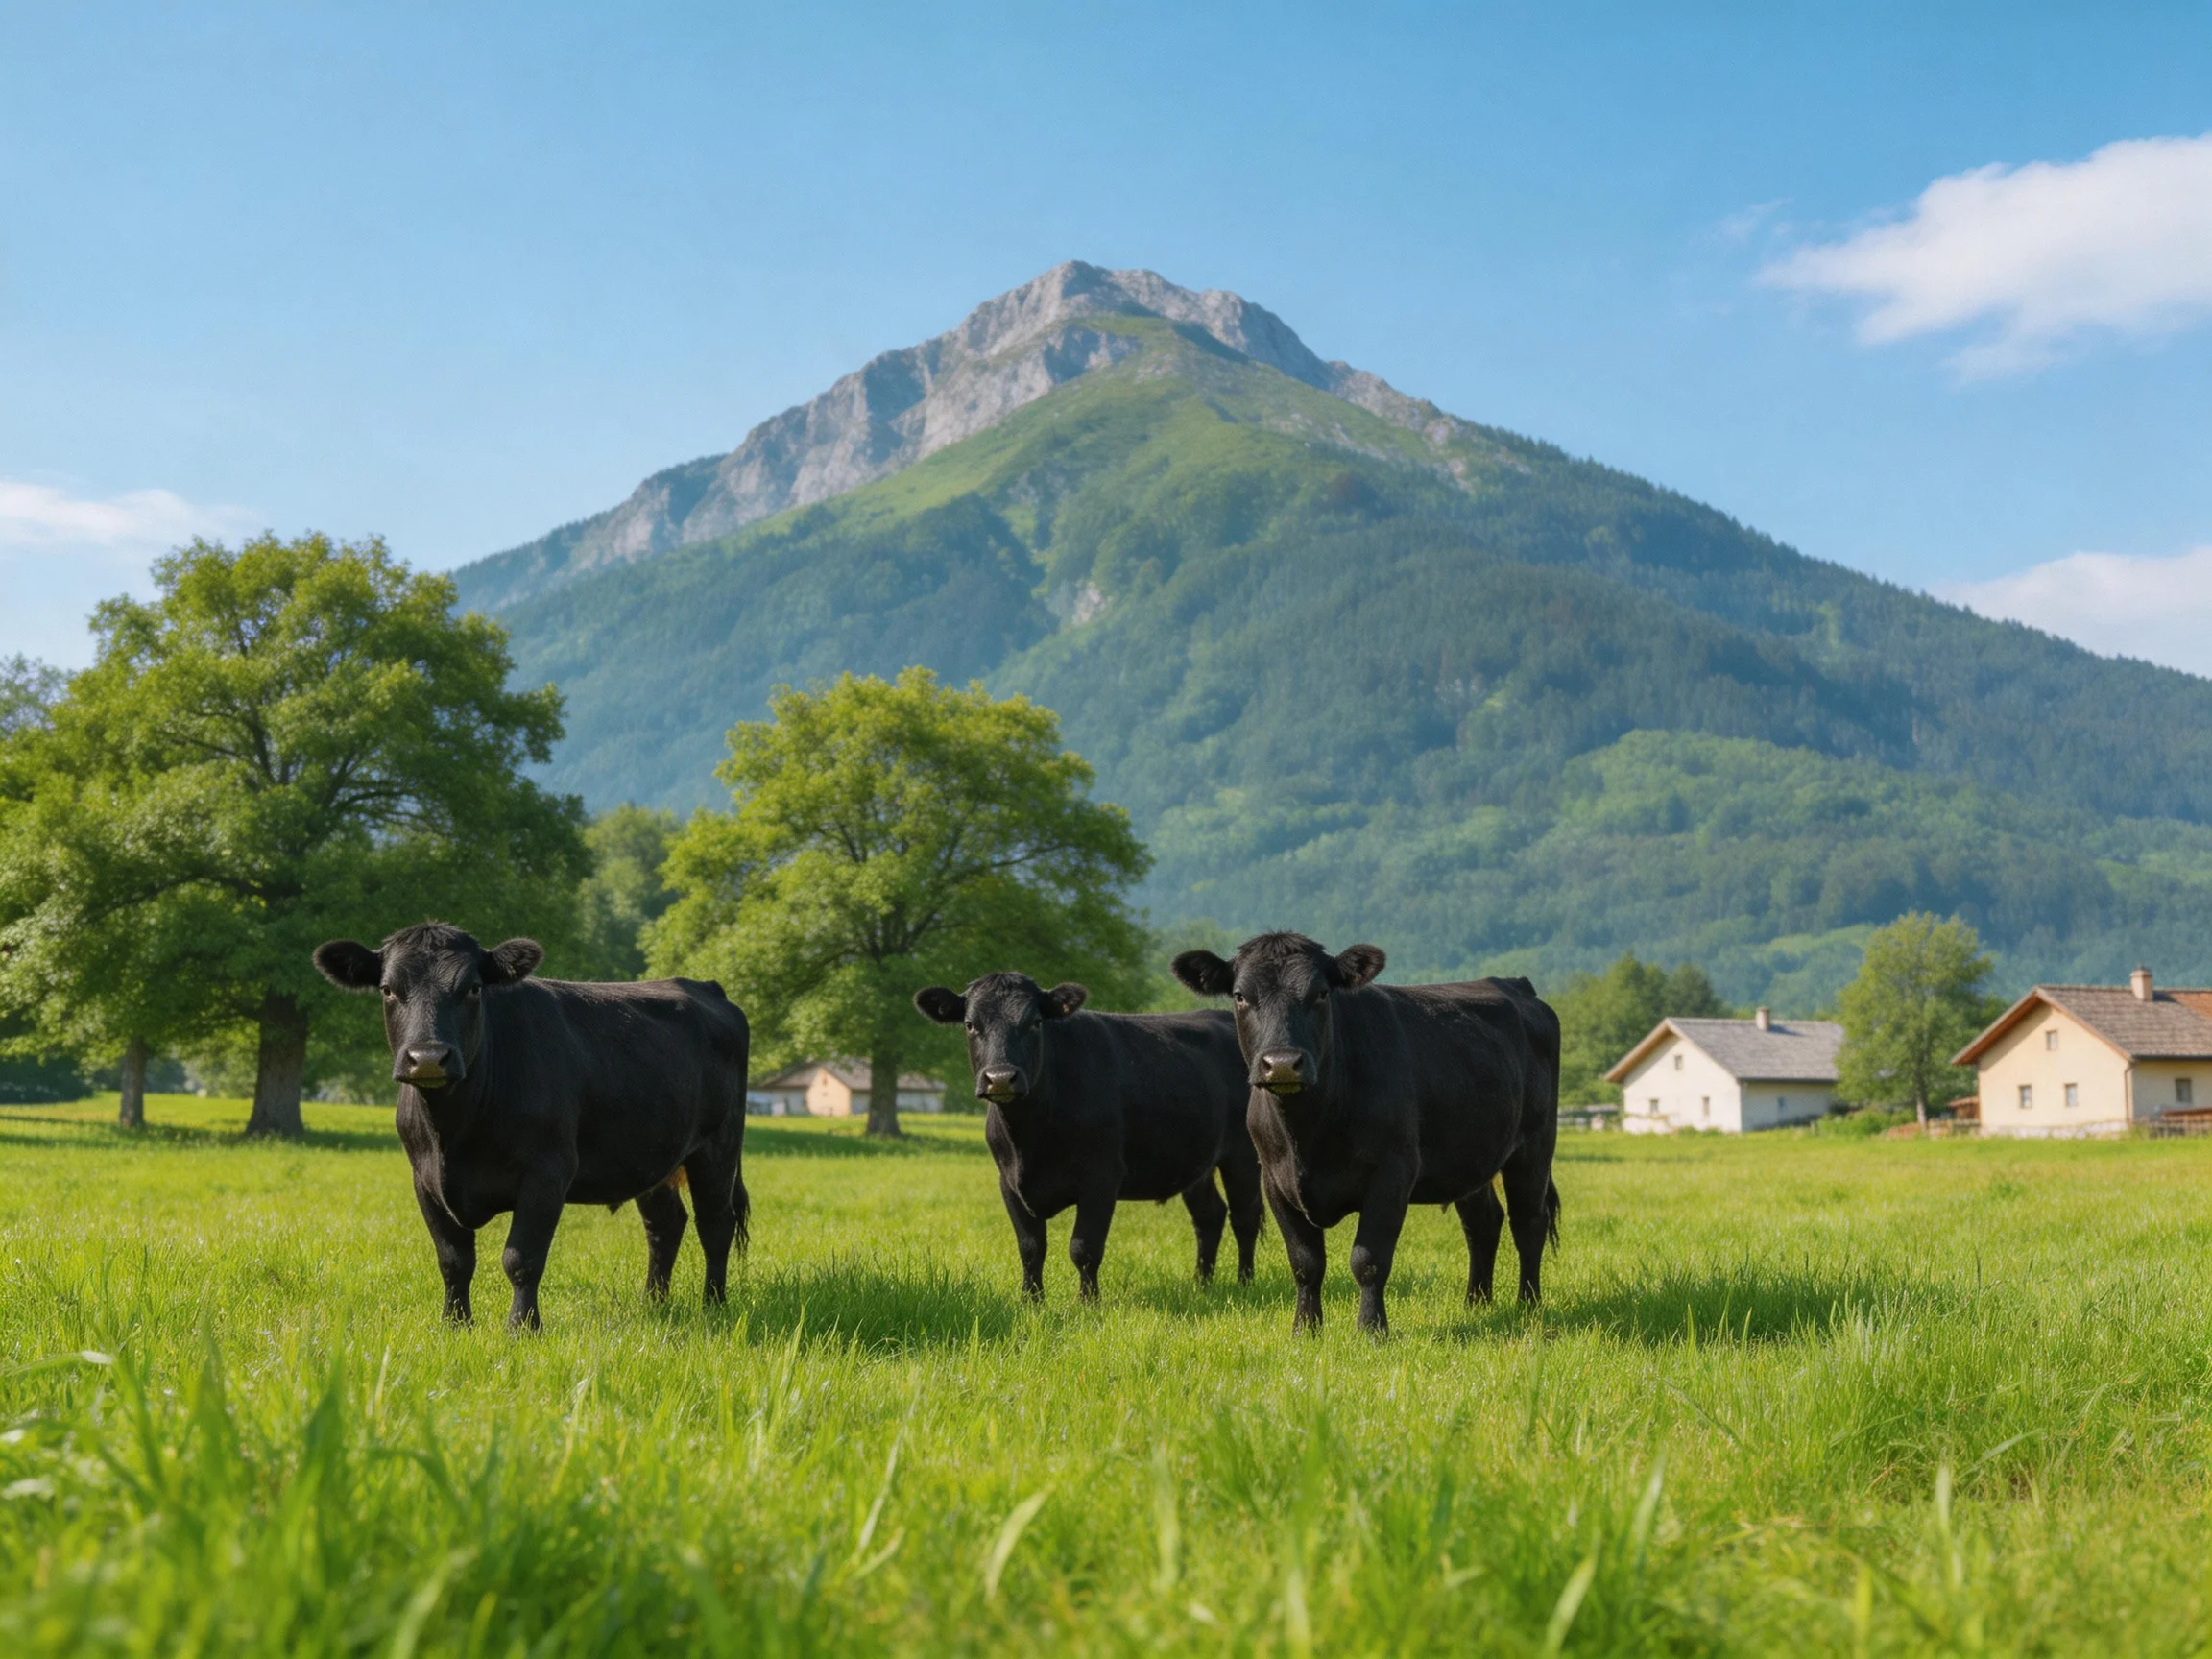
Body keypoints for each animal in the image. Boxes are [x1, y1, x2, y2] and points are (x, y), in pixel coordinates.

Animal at [313, 921, 751, 1330]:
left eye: (473, 988)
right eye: (388, 989)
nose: (428, 1058)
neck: (453, 1132)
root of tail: (705, 986)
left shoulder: (547, 1172)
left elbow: (521, 1258)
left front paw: (522, 1327)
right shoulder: (424, 1180)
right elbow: (453, 1260)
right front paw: (455, 1324)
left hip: (718, 1148)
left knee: (716, 1225)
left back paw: (713, 1306)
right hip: (651, 1155)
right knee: (665, 1224)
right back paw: (654, 1303)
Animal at [912, 972, 1266, 1302]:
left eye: (1035, 1022)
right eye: (970, 1024)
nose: (1000, 1078)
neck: (1030, 1138)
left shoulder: (1101, 1177)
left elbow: (1084, 1248)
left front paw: (1088, 1302)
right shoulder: (1009, 1182)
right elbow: (1030, 1248)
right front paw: (1031, 1301)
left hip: (1243, 1157)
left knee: (1244, 1218)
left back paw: (1245, 1283)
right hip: (1195, 1162)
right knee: (1210, 1216)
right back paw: (1202, 1284)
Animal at [1170, 933, 1560, 1335]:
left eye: (1321, 993)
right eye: (1240, 995)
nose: (1282, 1064)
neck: (1308, 1134)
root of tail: (1515, 984)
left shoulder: (1392, 1173)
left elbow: (1368, 1260)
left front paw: (1372, 1330)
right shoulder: (1275, 1181)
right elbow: (1305, 1263)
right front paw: (1305, 1329)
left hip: (1534, 1146)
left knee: (1529, 1222)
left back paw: (1528, 1305)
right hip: (1470, 1156)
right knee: (1483, 1223)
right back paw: (1476, 1304)